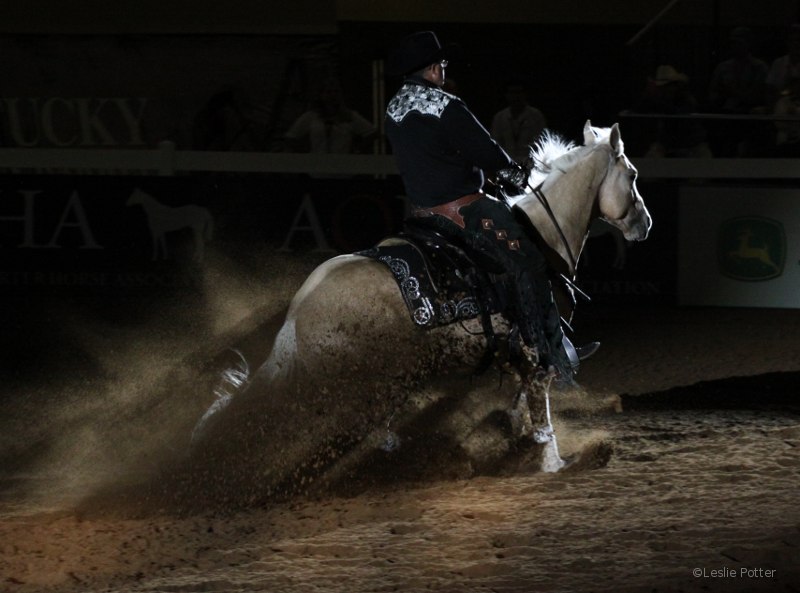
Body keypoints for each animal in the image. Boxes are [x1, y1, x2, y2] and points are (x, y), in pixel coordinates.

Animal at [188, 121, 652, 504]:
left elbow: (520, 407)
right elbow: (541, 413)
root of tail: (298, 314)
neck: (540, 238)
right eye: (632, 175)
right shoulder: (536, 354)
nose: (644, 224)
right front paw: (554, 464)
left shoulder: (515, 356)